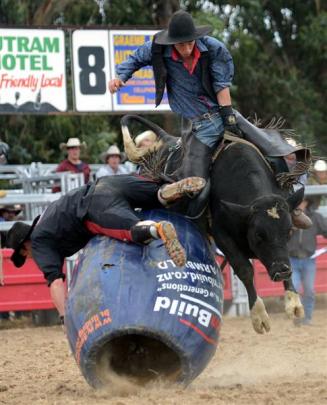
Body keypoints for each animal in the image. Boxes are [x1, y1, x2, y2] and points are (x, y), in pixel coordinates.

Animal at [121, 115, 306, 332]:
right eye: (259, 235)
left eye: (289, 232)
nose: (282, 271)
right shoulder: (222, 235)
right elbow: (245, 269)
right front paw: (259, 316)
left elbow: (285, 256)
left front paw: (293, 301)